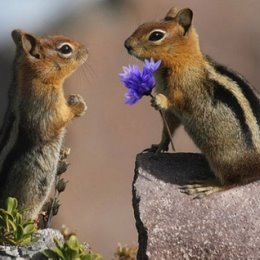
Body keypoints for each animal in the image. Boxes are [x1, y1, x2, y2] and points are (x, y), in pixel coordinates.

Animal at [124, 6, 260, 195]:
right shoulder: (172, 115)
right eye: (142, 24)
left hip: (222, 159)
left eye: (156, 35)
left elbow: (177, 101)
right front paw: (157, 146)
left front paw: (159, 100)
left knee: (233, 182)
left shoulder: (185, 89)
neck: (183, 61)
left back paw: (207, 186)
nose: (126, 44)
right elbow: (168, 129)